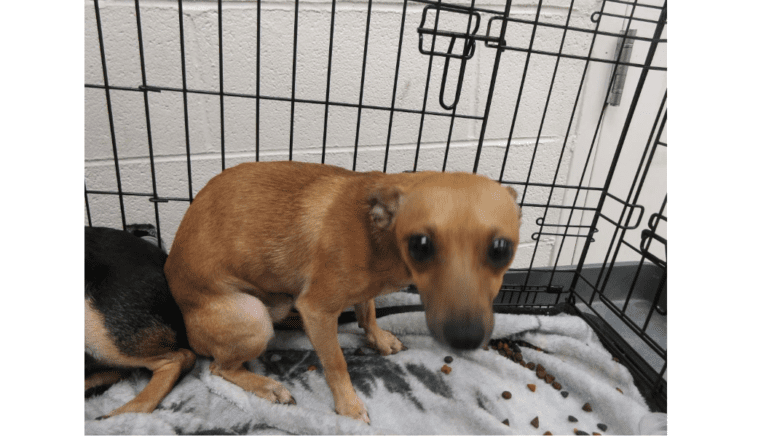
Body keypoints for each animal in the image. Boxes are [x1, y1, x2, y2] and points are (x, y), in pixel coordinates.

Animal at [167, 160, 524, 422]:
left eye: (501, 249)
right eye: (421, 245)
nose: (465, 338)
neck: (381, 238)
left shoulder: (358, 291)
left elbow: (368, 311)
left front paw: (378, 338)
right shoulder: (316, 308)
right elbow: (337, 362)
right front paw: (349, 405)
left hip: (276, 304)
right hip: (253, 316)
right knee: (218, 368)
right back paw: (267, 386)